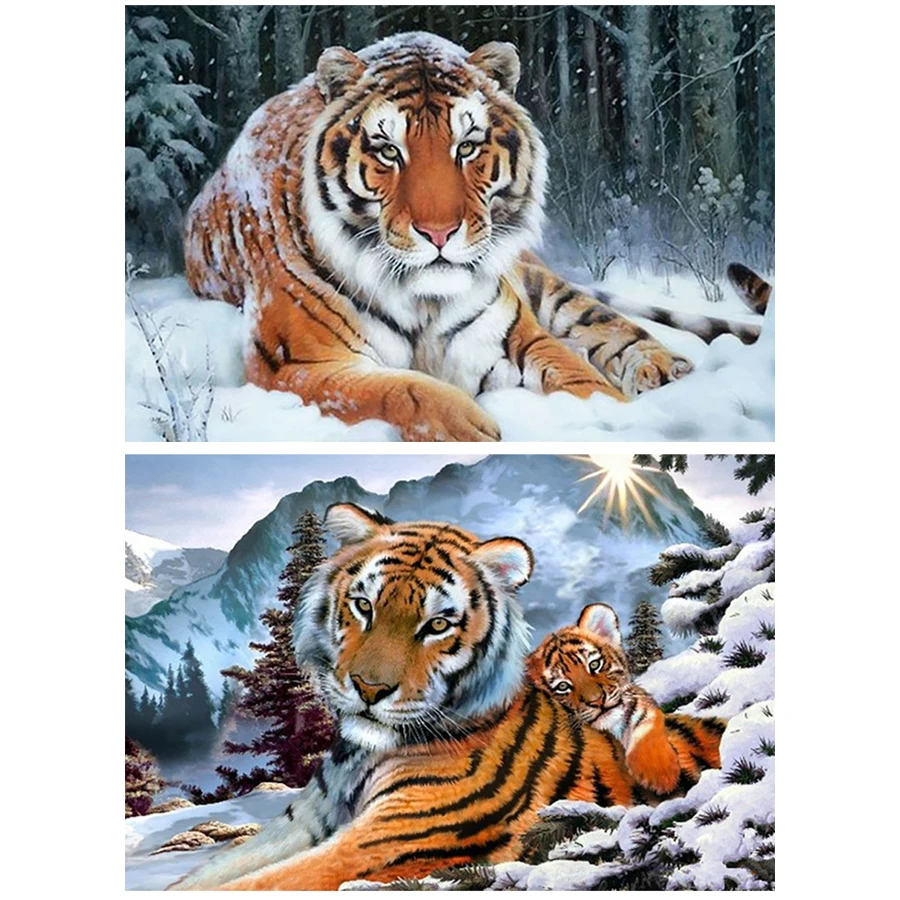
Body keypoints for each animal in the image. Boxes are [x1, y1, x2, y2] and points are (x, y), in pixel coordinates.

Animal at [183, 32, 695, 442]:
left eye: (466, 147)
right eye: (389, 151)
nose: (439, 233)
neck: (423, 302)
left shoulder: (513, 335)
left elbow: (580, 377)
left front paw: (618, 420)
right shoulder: (295, 365)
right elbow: (398, 390)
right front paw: (474, 429)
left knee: (601, 320)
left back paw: (664, 369)